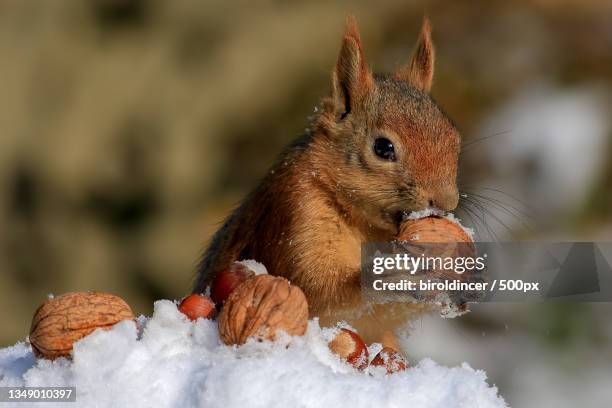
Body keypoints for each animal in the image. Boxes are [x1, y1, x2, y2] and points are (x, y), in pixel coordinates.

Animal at [192, 16, 460, 350]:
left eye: (454, 138)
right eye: (383, 148)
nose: (447, 201)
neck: (365, 225)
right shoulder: (296, 213)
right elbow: (318, 291)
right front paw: (392, 276)